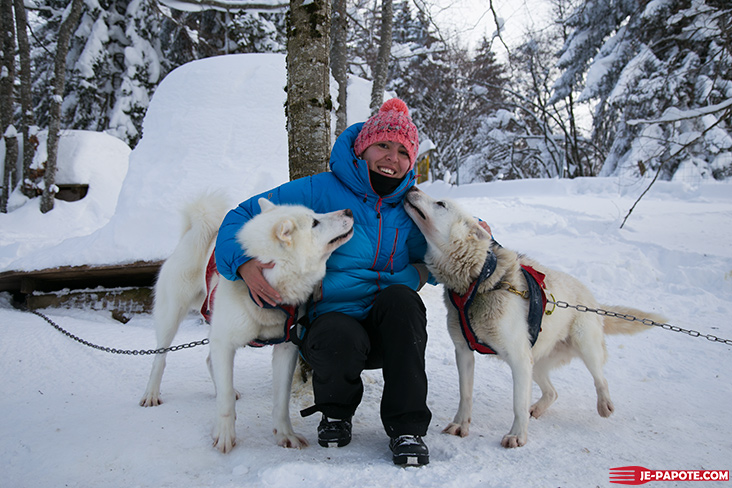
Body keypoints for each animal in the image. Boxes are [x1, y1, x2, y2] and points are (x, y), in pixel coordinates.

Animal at [404, 188, 668, 450]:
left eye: (441, 204)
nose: (413, 188)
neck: (480, 281)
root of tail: (593, 302)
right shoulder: (464, 352)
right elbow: (466, 395)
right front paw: (460, 425)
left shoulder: (519, 359)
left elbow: (517, 403)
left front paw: (517, 436)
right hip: (537, 362)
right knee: (552, 392)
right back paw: (538, 409)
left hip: (582, 347)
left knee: (600, 377)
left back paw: (604, 404)